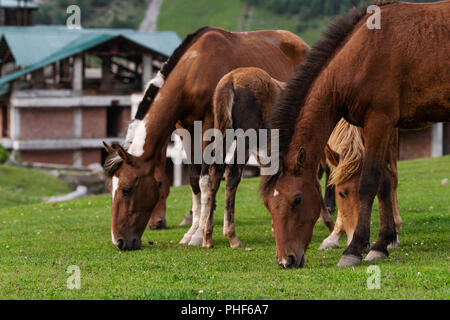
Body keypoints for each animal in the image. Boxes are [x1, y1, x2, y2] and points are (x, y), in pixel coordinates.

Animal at [103, 26, 312, 250]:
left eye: (127, 189)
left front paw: (199, 233)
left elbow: (206, 179)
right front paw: (193, 230)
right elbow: (194, 180)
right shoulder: (184, 129)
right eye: (111, 188)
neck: (193, 70)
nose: (119, 241)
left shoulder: (209, 125)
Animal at [200, 67, 334, 248]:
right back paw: (232, 236)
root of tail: (231, 80)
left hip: (224, 134)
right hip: (244, 139)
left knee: (215, 173)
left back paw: (207, 236)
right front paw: (330, 224)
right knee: (232, 175)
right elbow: (313, 183)